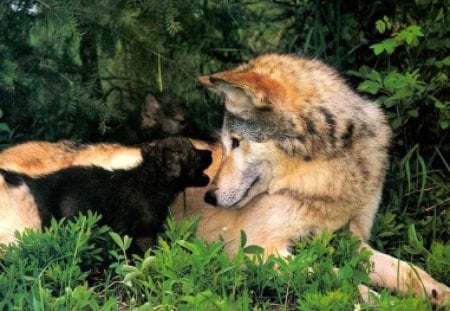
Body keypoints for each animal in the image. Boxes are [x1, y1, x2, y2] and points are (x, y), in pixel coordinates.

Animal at [0, 54, 450, 304]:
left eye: (236, 141)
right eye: (224, 142)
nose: (211, 197)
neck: (325, 180)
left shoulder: (351, 241)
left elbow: (408, 271)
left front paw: (438, 294)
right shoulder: (262, 253)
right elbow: (335, 278)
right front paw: (376, 301)